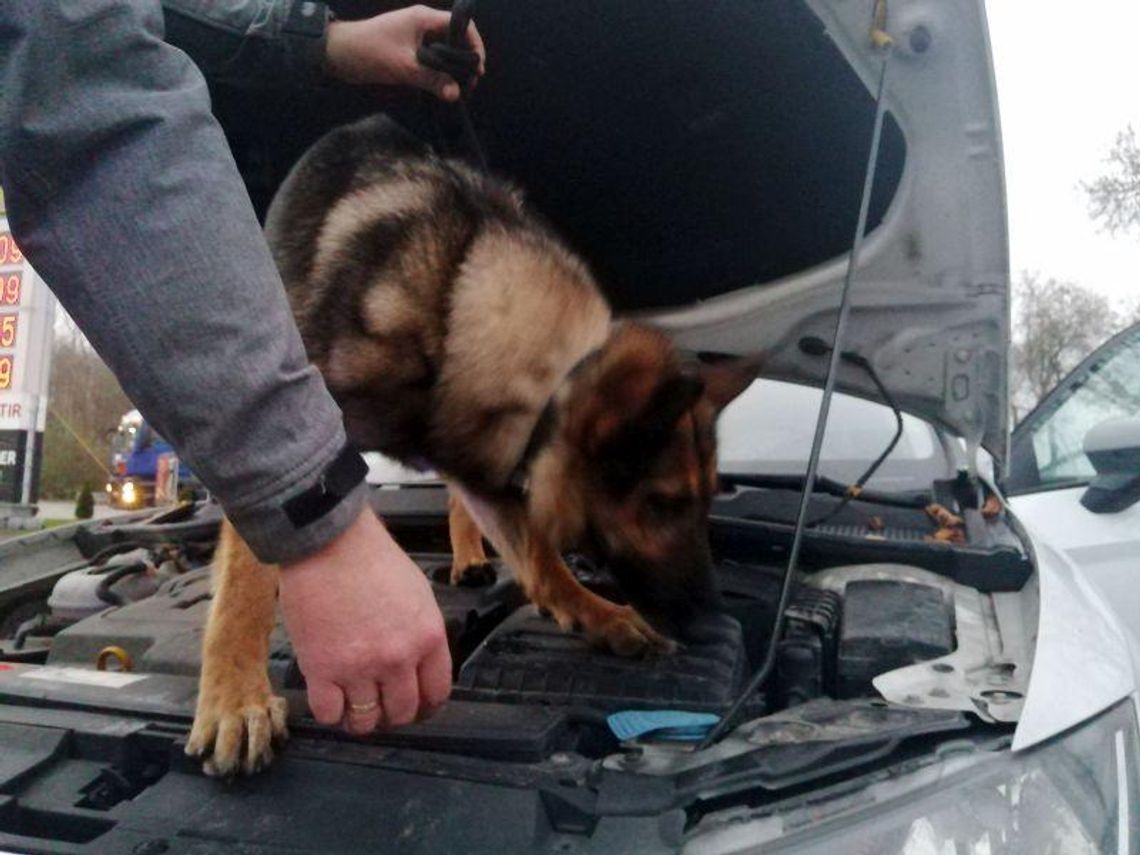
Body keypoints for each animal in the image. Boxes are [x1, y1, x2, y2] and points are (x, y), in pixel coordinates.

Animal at [184, 117, 756, 779]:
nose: (715, 622)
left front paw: (594, 611)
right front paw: (237, 698)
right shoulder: (292, 431)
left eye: (708, 500)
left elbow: (537, 554)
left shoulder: (488, 459)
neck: (459, 309)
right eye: (663, 504)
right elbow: (251, 570)